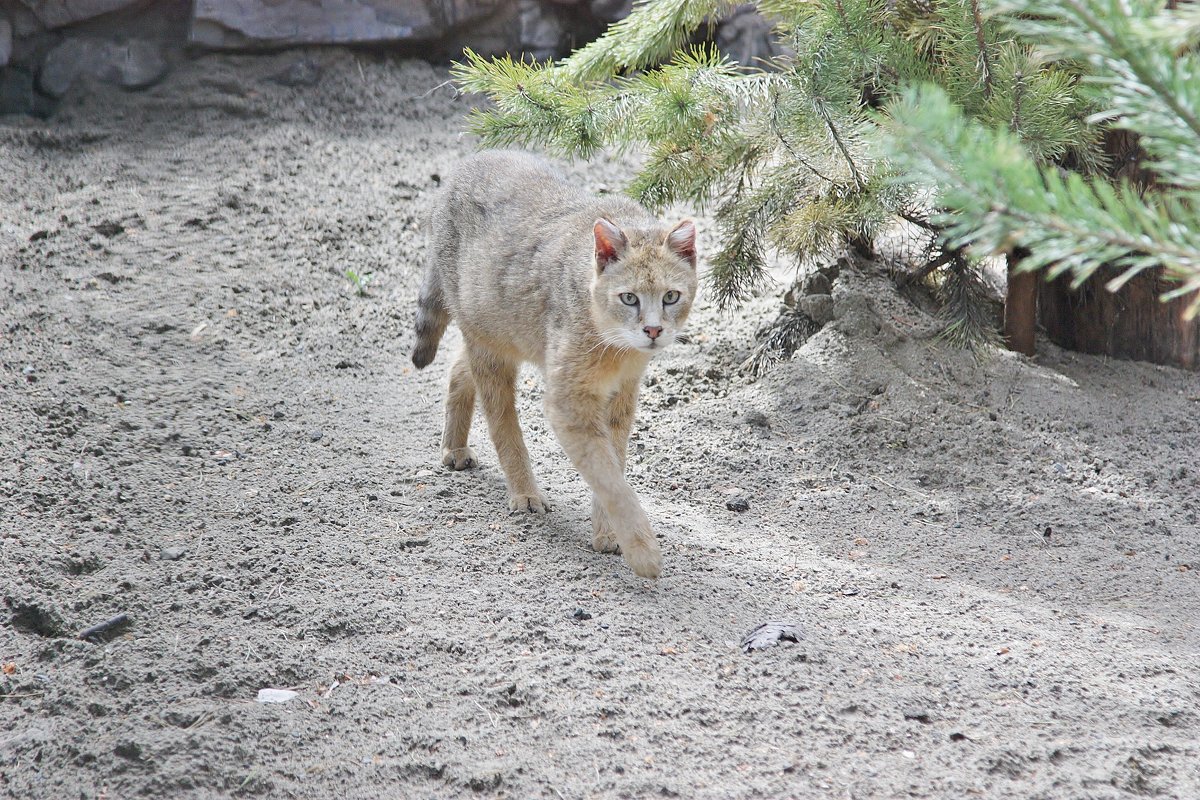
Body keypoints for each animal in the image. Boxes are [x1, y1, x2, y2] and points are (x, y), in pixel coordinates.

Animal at [412, 149, 700, 578]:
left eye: (671, 296)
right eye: (629, 298)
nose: (652, 330)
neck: (614, 345)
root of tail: (471, 161)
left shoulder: (621, 399)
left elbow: (613, 465)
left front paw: (608, 532)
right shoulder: (569, 403)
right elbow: (610, 478)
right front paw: (642, 550)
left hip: (496, 335)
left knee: (459, 369)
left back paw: (455, 446)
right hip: (491, 347)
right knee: (501, 421)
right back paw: (523, 492)